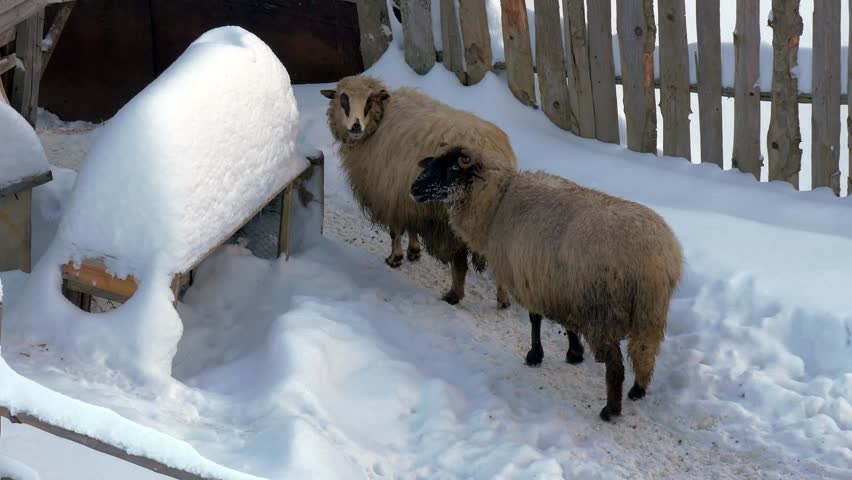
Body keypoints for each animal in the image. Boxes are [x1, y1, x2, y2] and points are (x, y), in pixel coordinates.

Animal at [320, 75, 516, 307]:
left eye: (369, 100)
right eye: (344, 99)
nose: (356, 126)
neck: (380, 120)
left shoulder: (389, 193)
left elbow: (395, 231)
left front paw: (395, 258)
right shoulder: (407, 197)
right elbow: (411, 227)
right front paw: (413, 251)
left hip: (455, 219)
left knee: (459, 260)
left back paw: (454, 295)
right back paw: (503, 299)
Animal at [410, 146, 684, 421]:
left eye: (453, 167)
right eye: (434, 161)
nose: (414, 188)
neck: (497, 202)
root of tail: (653, 261)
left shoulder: (531, 280)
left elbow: (535, 319)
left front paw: (535, 355)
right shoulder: (560, 285)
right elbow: (569, 325)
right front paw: (574, 353)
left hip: (602, 310)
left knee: (615, 365)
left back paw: (610, 410)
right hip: (650, 313)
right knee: (645, 352)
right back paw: (638, 390)